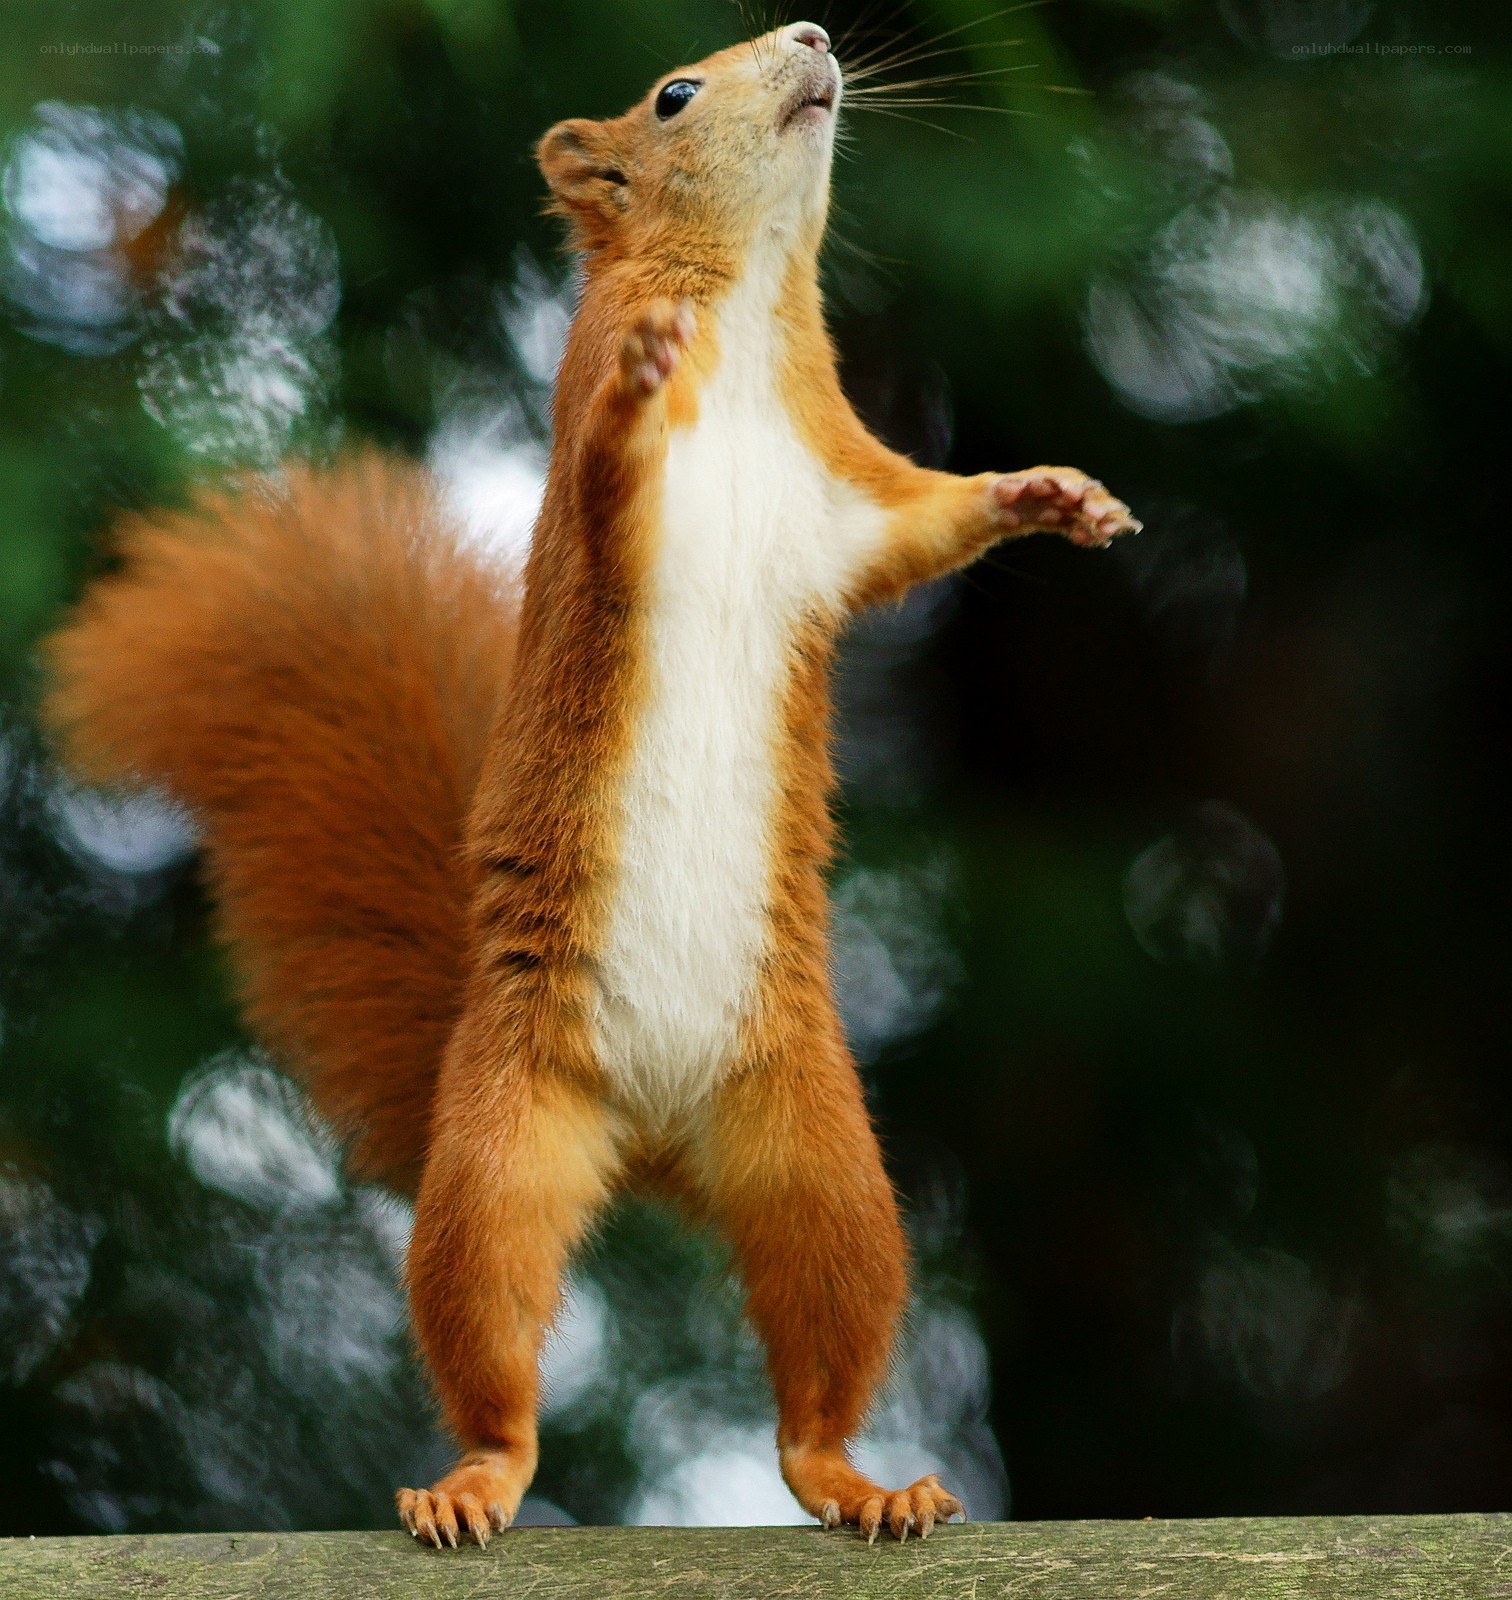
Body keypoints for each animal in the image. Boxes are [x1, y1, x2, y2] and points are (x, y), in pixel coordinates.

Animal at [42, 21, 1138, 1547]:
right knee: (494, 1351)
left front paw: (1051, 495)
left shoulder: (843, 497)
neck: (743, 313)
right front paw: (639, 372)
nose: (811, 39)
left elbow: (928, 523)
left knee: (815, 1379)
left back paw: (863, 1482)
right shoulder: (592, 485)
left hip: (820, 1161)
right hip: (503, 1155)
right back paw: (473, 1482)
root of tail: (661, 1137)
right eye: (674, 94)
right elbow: (606, 466)